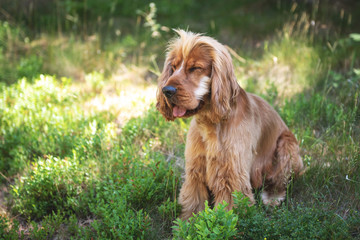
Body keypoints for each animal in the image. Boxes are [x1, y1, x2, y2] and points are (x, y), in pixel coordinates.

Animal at [156, 29, 302, 219]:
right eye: (172, 68)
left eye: (195, 68)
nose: (167, 90)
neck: (210, 121)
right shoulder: (196, 169)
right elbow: (193, 200)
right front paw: (187, 223)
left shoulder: (231, 172)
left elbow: (227, 209)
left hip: (287, 145)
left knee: (280, 180)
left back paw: (272, 197)